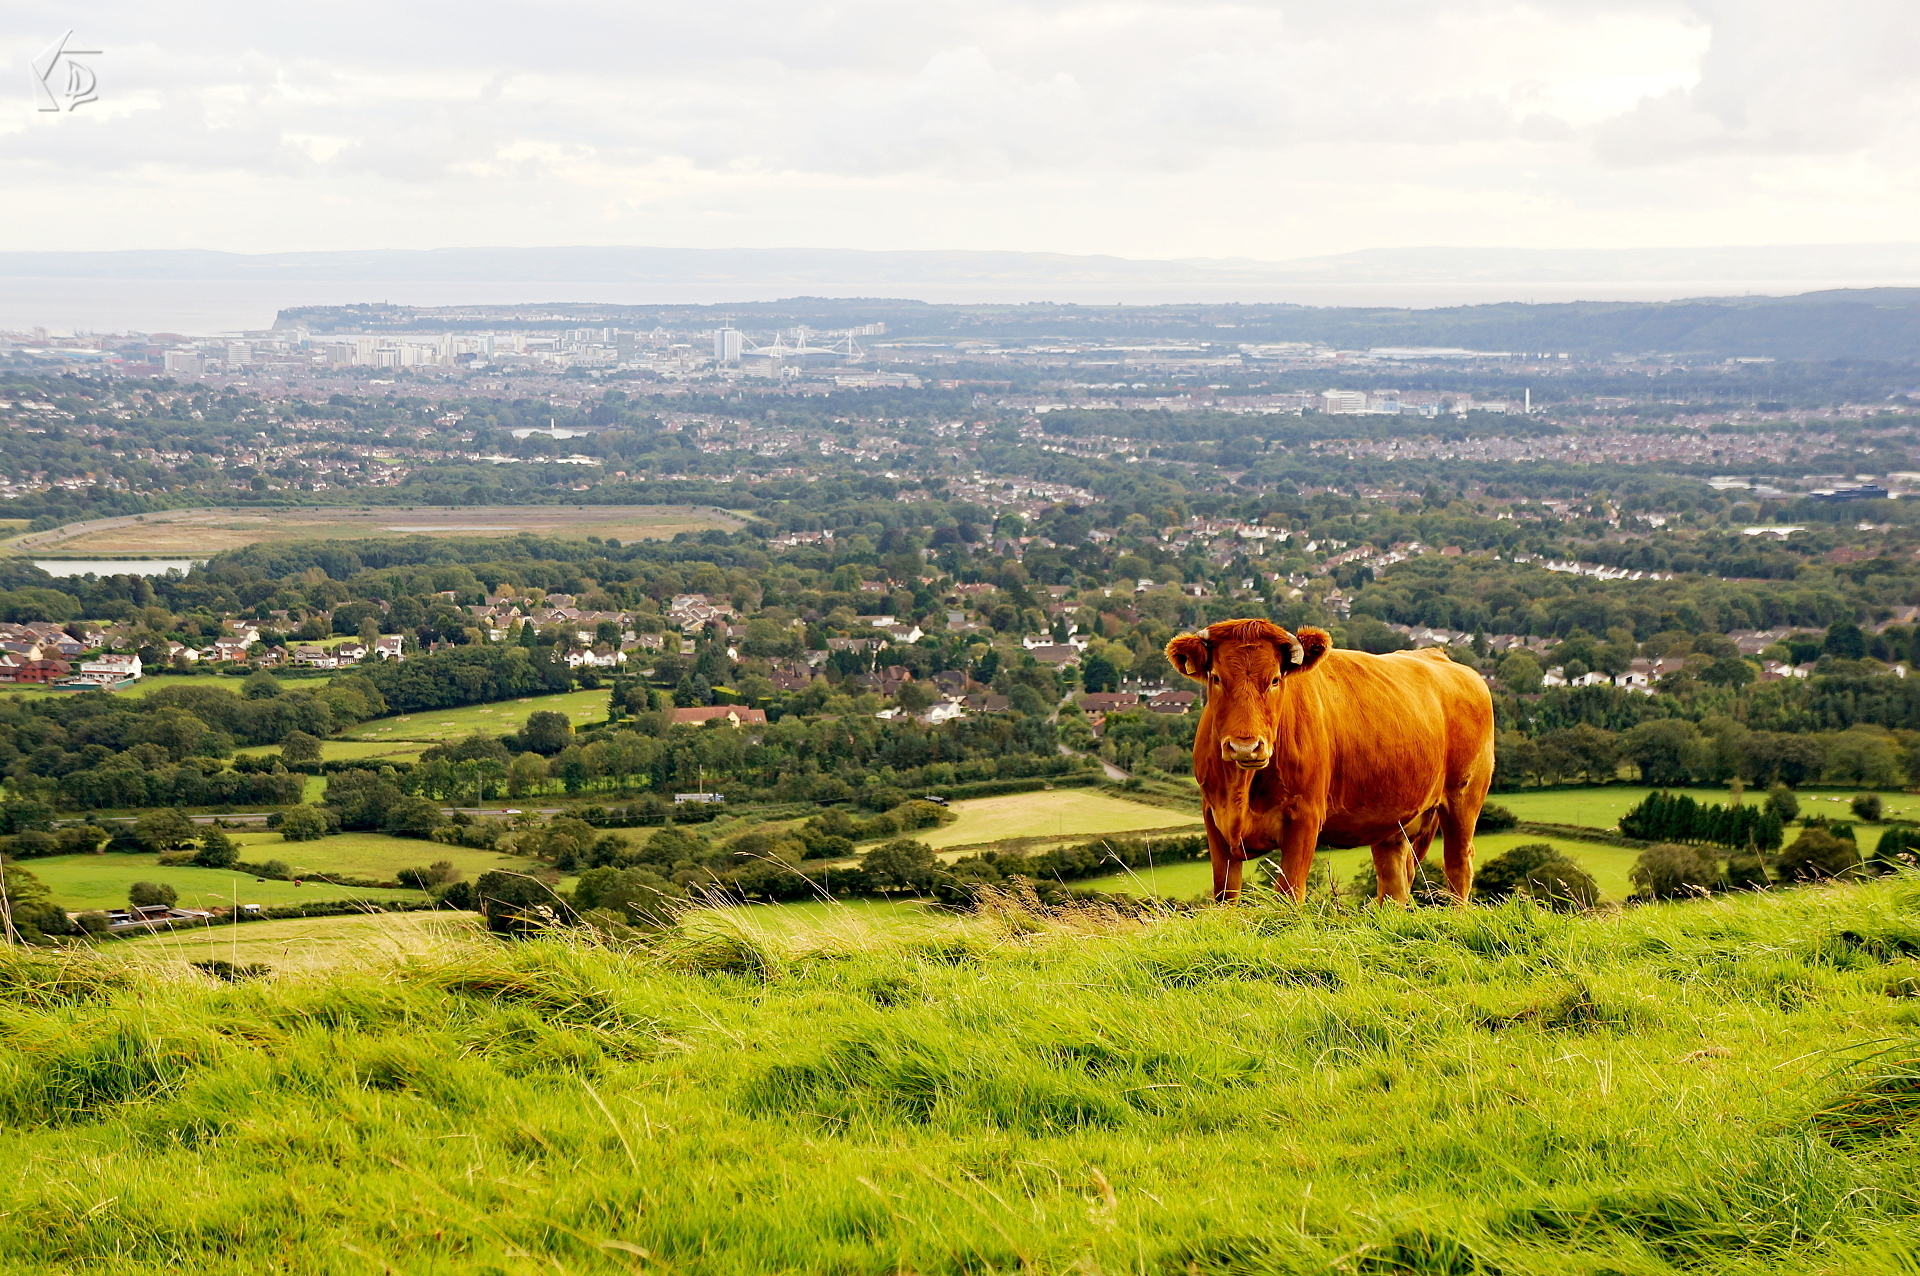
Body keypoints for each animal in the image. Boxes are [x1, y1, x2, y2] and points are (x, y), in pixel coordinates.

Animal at [1164, 618, 1493, 905]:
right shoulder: (1214, 819)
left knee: (1458, 865)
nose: (1245, 747)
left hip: (1463, 799)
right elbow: (1225, 896)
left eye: (1275, 680)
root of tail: (1438, 656)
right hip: (1394, 822)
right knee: (1394, 883)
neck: (1241, 789)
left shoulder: (1305, 817)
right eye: (1217, 678)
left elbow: (1288, 893)